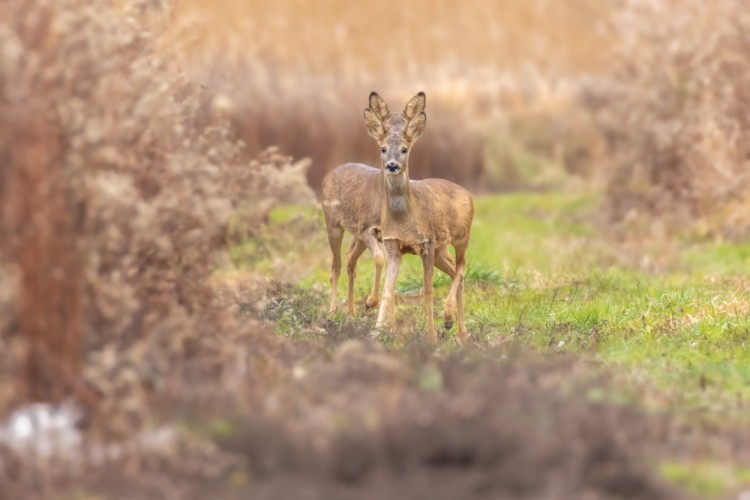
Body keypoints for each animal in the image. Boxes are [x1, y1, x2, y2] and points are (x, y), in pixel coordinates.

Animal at [324, 92, 458, 314]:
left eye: (405, 147)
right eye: (383, 147)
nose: (392, 164)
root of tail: (328, 174)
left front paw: (376, 304)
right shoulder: (367, 228)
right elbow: (380, 259)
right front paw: (371, 301)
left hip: (356, 235)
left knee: (350, 258)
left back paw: (351, 310)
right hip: (332, 224)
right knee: (336, 264)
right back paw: (333, 309)